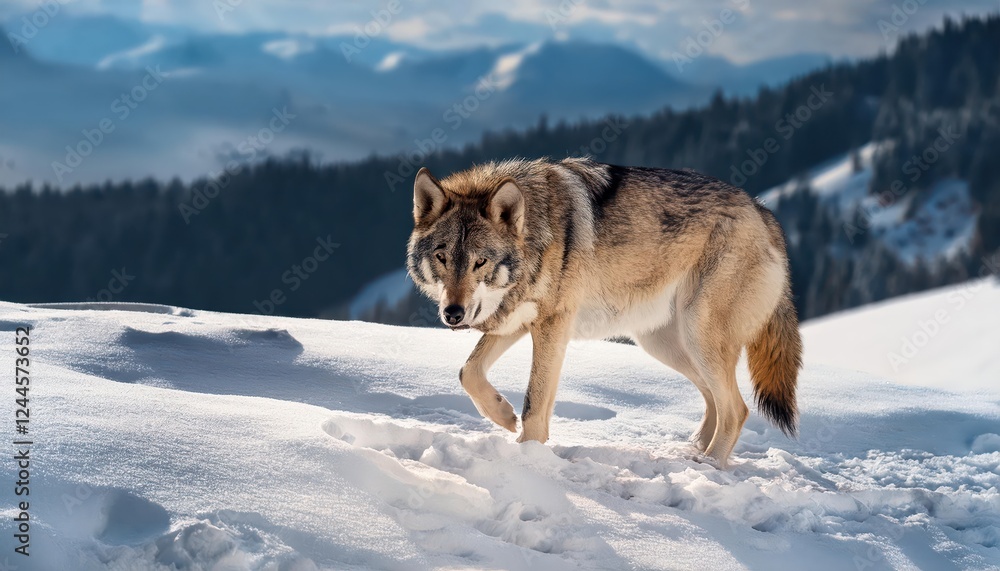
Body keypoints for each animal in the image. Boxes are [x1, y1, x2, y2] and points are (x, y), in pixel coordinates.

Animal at [406, 157, 802, 466]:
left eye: (480, 262)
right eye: (442, 257)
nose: (453, 314)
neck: (536, 232)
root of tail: (763, 211)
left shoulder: (553, 325)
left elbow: (535, 402)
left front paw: (528, 457)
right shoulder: (517, 320)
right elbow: (468, 372)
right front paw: (503, 416)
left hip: (696, 336)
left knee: (737, 409)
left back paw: (708, 466)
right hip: (665, 345)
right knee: (713, 399)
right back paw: (692, 450)